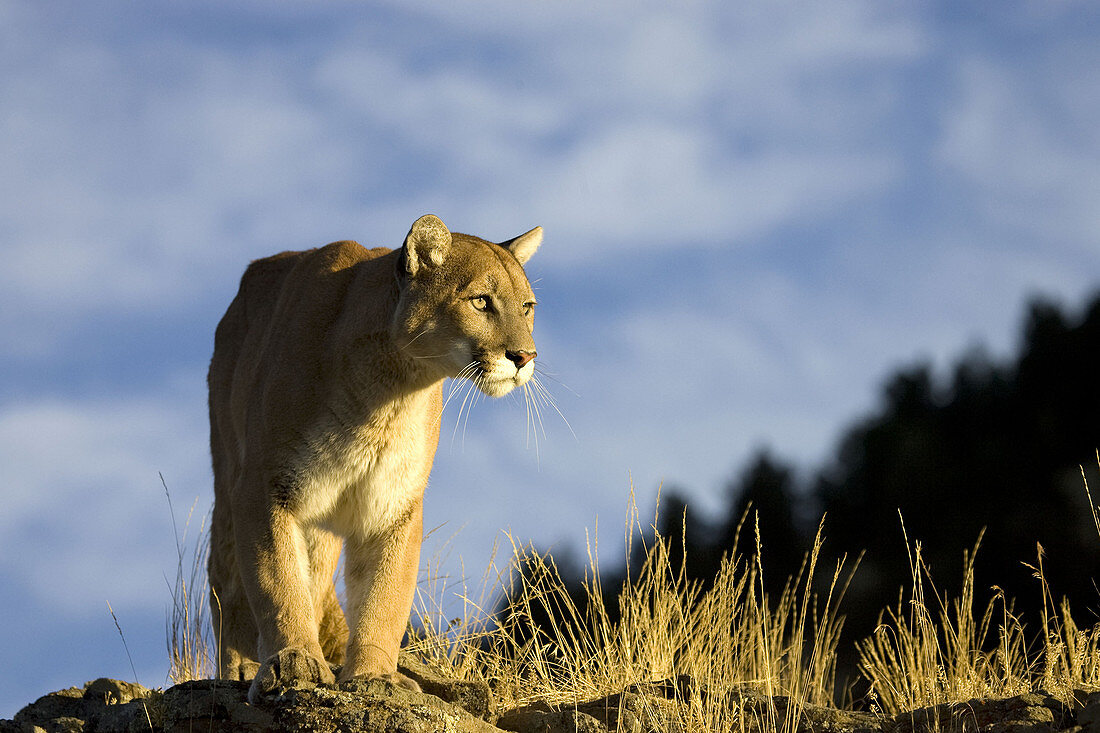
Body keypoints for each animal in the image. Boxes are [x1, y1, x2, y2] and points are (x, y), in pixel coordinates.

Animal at [206, 214, 541, 699]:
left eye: (528, 306)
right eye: (481, 302)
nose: (525, 356)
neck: (389, 391)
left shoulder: (394, 502)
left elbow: (384, 593)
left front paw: (373, 676)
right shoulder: (264, 486)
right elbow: (277, 579)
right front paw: (294, 663)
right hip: (228, 470)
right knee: (227, 575)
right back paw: (241, 665)